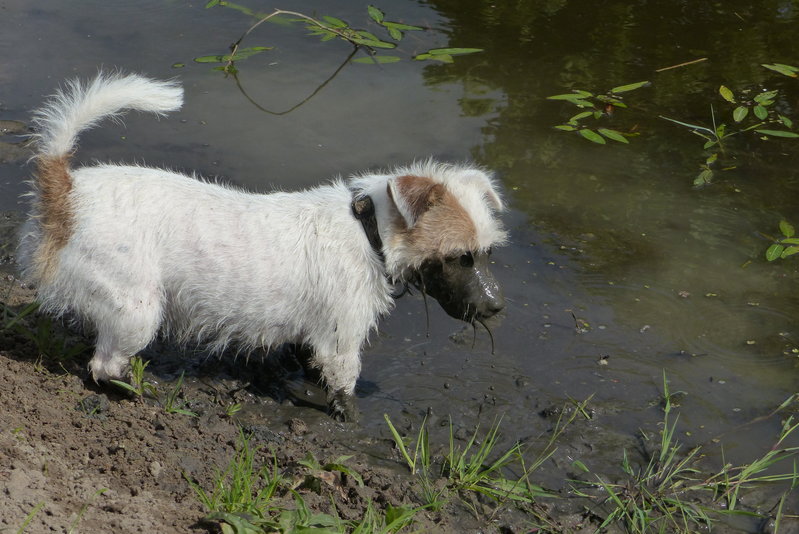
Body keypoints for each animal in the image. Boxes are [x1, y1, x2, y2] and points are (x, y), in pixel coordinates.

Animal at [18, 72, 510, 422]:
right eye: (461, 257)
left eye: (488, 252)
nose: (497, 308)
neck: (367, 230)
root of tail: (68, 193)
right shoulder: (342, 338)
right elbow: (344, 383)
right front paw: (348, 415)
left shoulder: (315, 336)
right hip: (136, 309)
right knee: (103, 367)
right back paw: (134, 391)